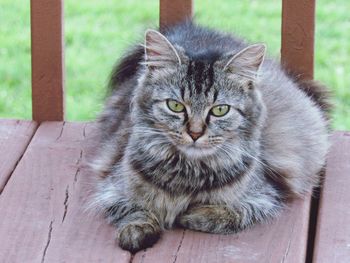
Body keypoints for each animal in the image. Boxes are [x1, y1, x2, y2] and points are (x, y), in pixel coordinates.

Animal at [89, 22, 330, 254]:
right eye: (175, 106)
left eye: (220, 110)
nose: (195, 133)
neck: (186, 172)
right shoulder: (113, 190)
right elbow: (135, 211)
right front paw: (136, 231)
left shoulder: (265, 196)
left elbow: (230, 214)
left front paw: (193, 215)